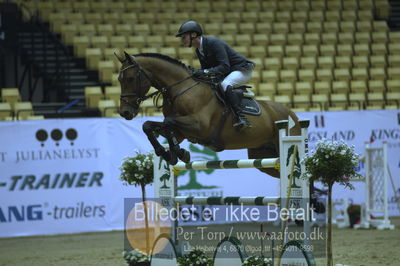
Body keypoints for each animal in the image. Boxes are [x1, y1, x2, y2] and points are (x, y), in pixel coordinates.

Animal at [115, 51, 300, 179]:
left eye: (130, 78)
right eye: (119, 80)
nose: (125, 112)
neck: (180, 89)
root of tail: (292, 114)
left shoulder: (199, 126)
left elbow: (168, 122)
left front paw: (178, 152)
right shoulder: (182, 132)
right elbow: (149, 126)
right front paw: (170, 153)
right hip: (263, 158)